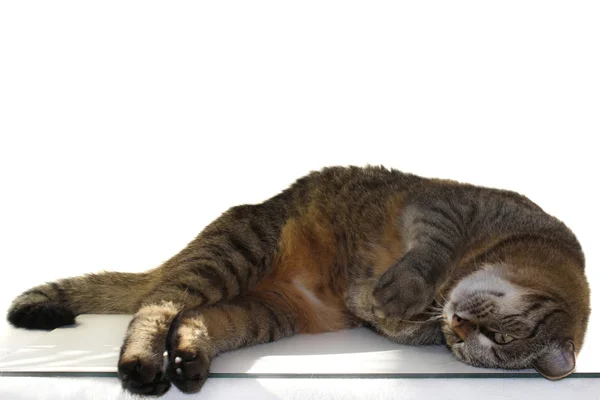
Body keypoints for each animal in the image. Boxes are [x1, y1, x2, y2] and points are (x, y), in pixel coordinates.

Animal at [8, 166, 592, 396]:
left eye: (491, 346)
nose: (462, 328)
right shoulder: (443, 208)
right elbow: (429, 252)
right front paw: (400, 292)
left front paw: (392, 306)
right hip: (237, 252)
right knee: (157, 303)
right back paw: (142, 363)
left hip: (267, 310)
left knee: (196, 317)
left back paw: (189, 358)